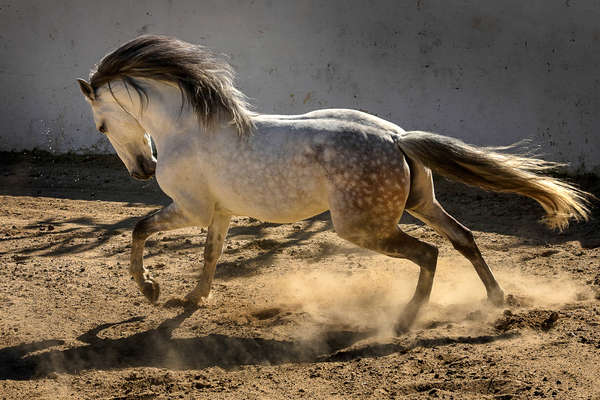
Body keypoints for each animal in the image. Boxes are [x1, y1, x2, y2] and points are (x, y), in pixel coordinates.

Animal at [76, 36, 592, 332]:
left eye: (100, 125)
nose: (142, 170)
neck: (188, 129)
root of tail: (396, 137)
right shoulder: (220, 214)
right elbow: (210, 254)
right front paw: (193, 299)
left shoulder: (192, 209)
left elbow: (139, 228)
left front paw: (150, 290)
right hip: (420, 204)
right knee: (463, 238)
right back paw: (495, 301)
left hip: (363, 228)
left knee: (429, 253)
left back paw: (406, 319)